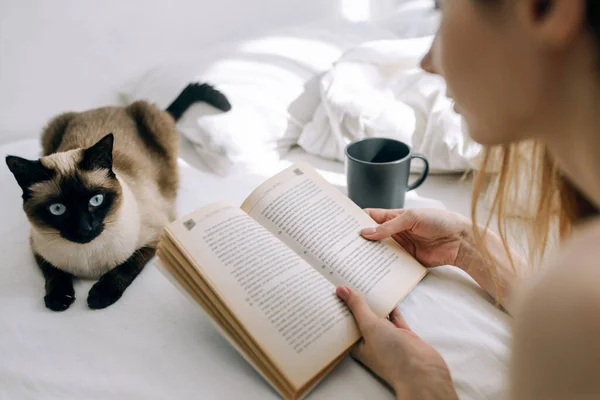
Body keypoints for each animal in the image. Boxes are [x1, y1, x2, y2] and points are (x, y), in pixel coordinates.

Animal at [4, 82, 230, 312]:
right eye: (58, 209)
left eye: (96, 200)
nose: (85, 228)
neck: (87, 263)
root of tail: (113, 107)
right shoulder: (36, 247)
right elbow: (53, 272)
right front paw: (58, 298)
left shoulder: (157, 236)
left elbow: (126, 266)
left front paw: (100, 296)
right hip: (52, 127)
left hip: (154, 121)